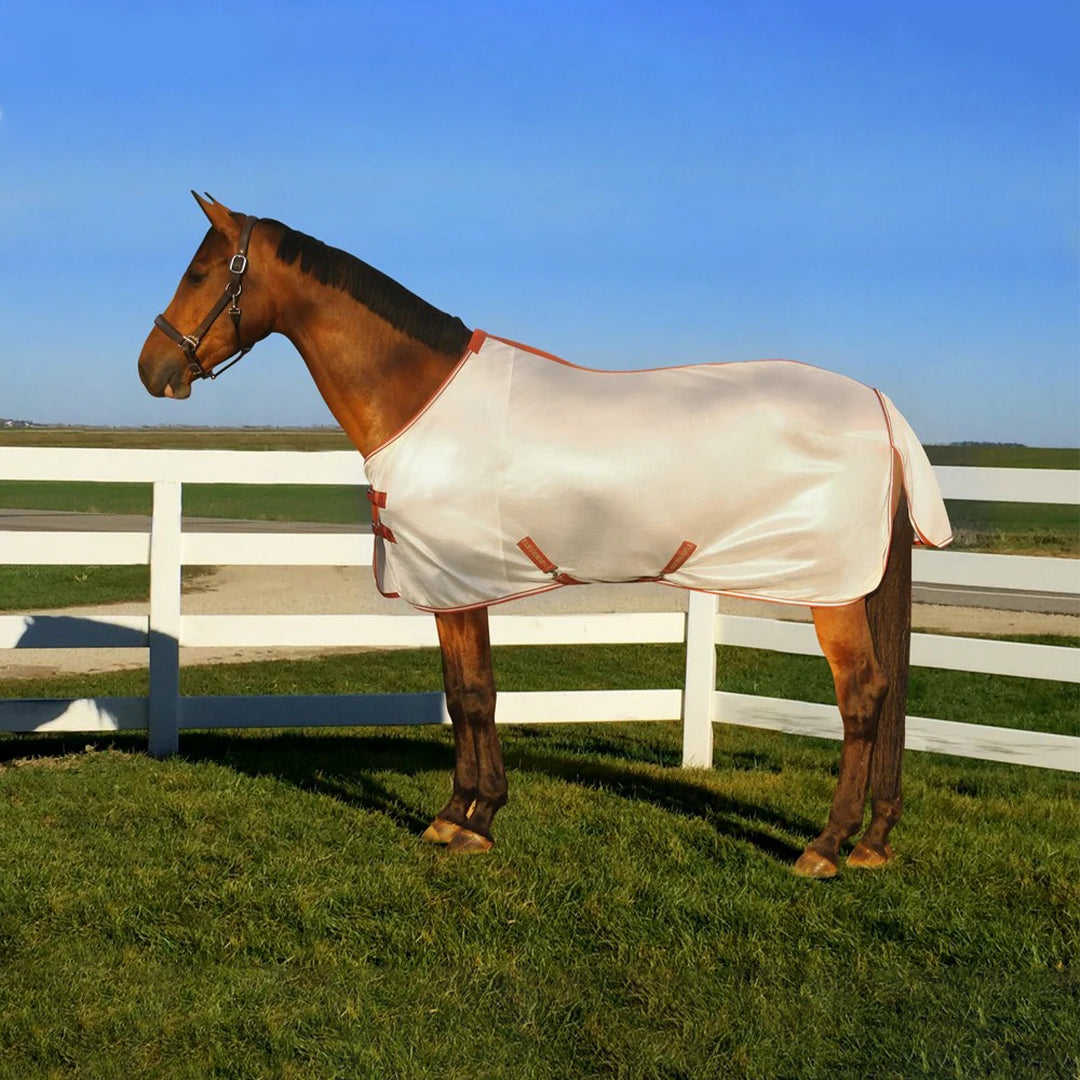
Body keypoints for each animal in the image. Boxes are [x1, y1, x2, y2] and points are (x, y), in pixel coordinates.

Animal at [138, 193, 951, 879]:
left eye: (201, 270)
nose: (153, 369)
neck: (418, 396)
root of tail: (877, 405)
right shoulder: (454, 590)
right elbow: (465, 691)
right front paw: (459, 813)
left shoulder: (457, 581)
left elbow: (474, 696)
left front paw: (473, 822)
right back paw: (873, 839)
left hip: (830, 591)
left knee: (862, 697)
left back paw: (825, 845)